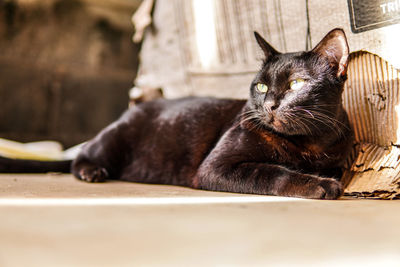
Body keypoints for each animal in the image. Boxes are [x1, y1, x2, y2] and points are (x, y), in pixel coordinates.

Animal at [0, 28, 354, 199]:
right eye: (261, 86)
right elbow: (274, 173)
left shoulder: (338, 162)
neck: (306, 145)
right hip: (113, 140)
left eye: (296, 84)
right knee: (79, 157)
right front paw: (317, 185)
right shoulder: (216, 167)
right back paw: (92, 171)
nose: (268, 105)